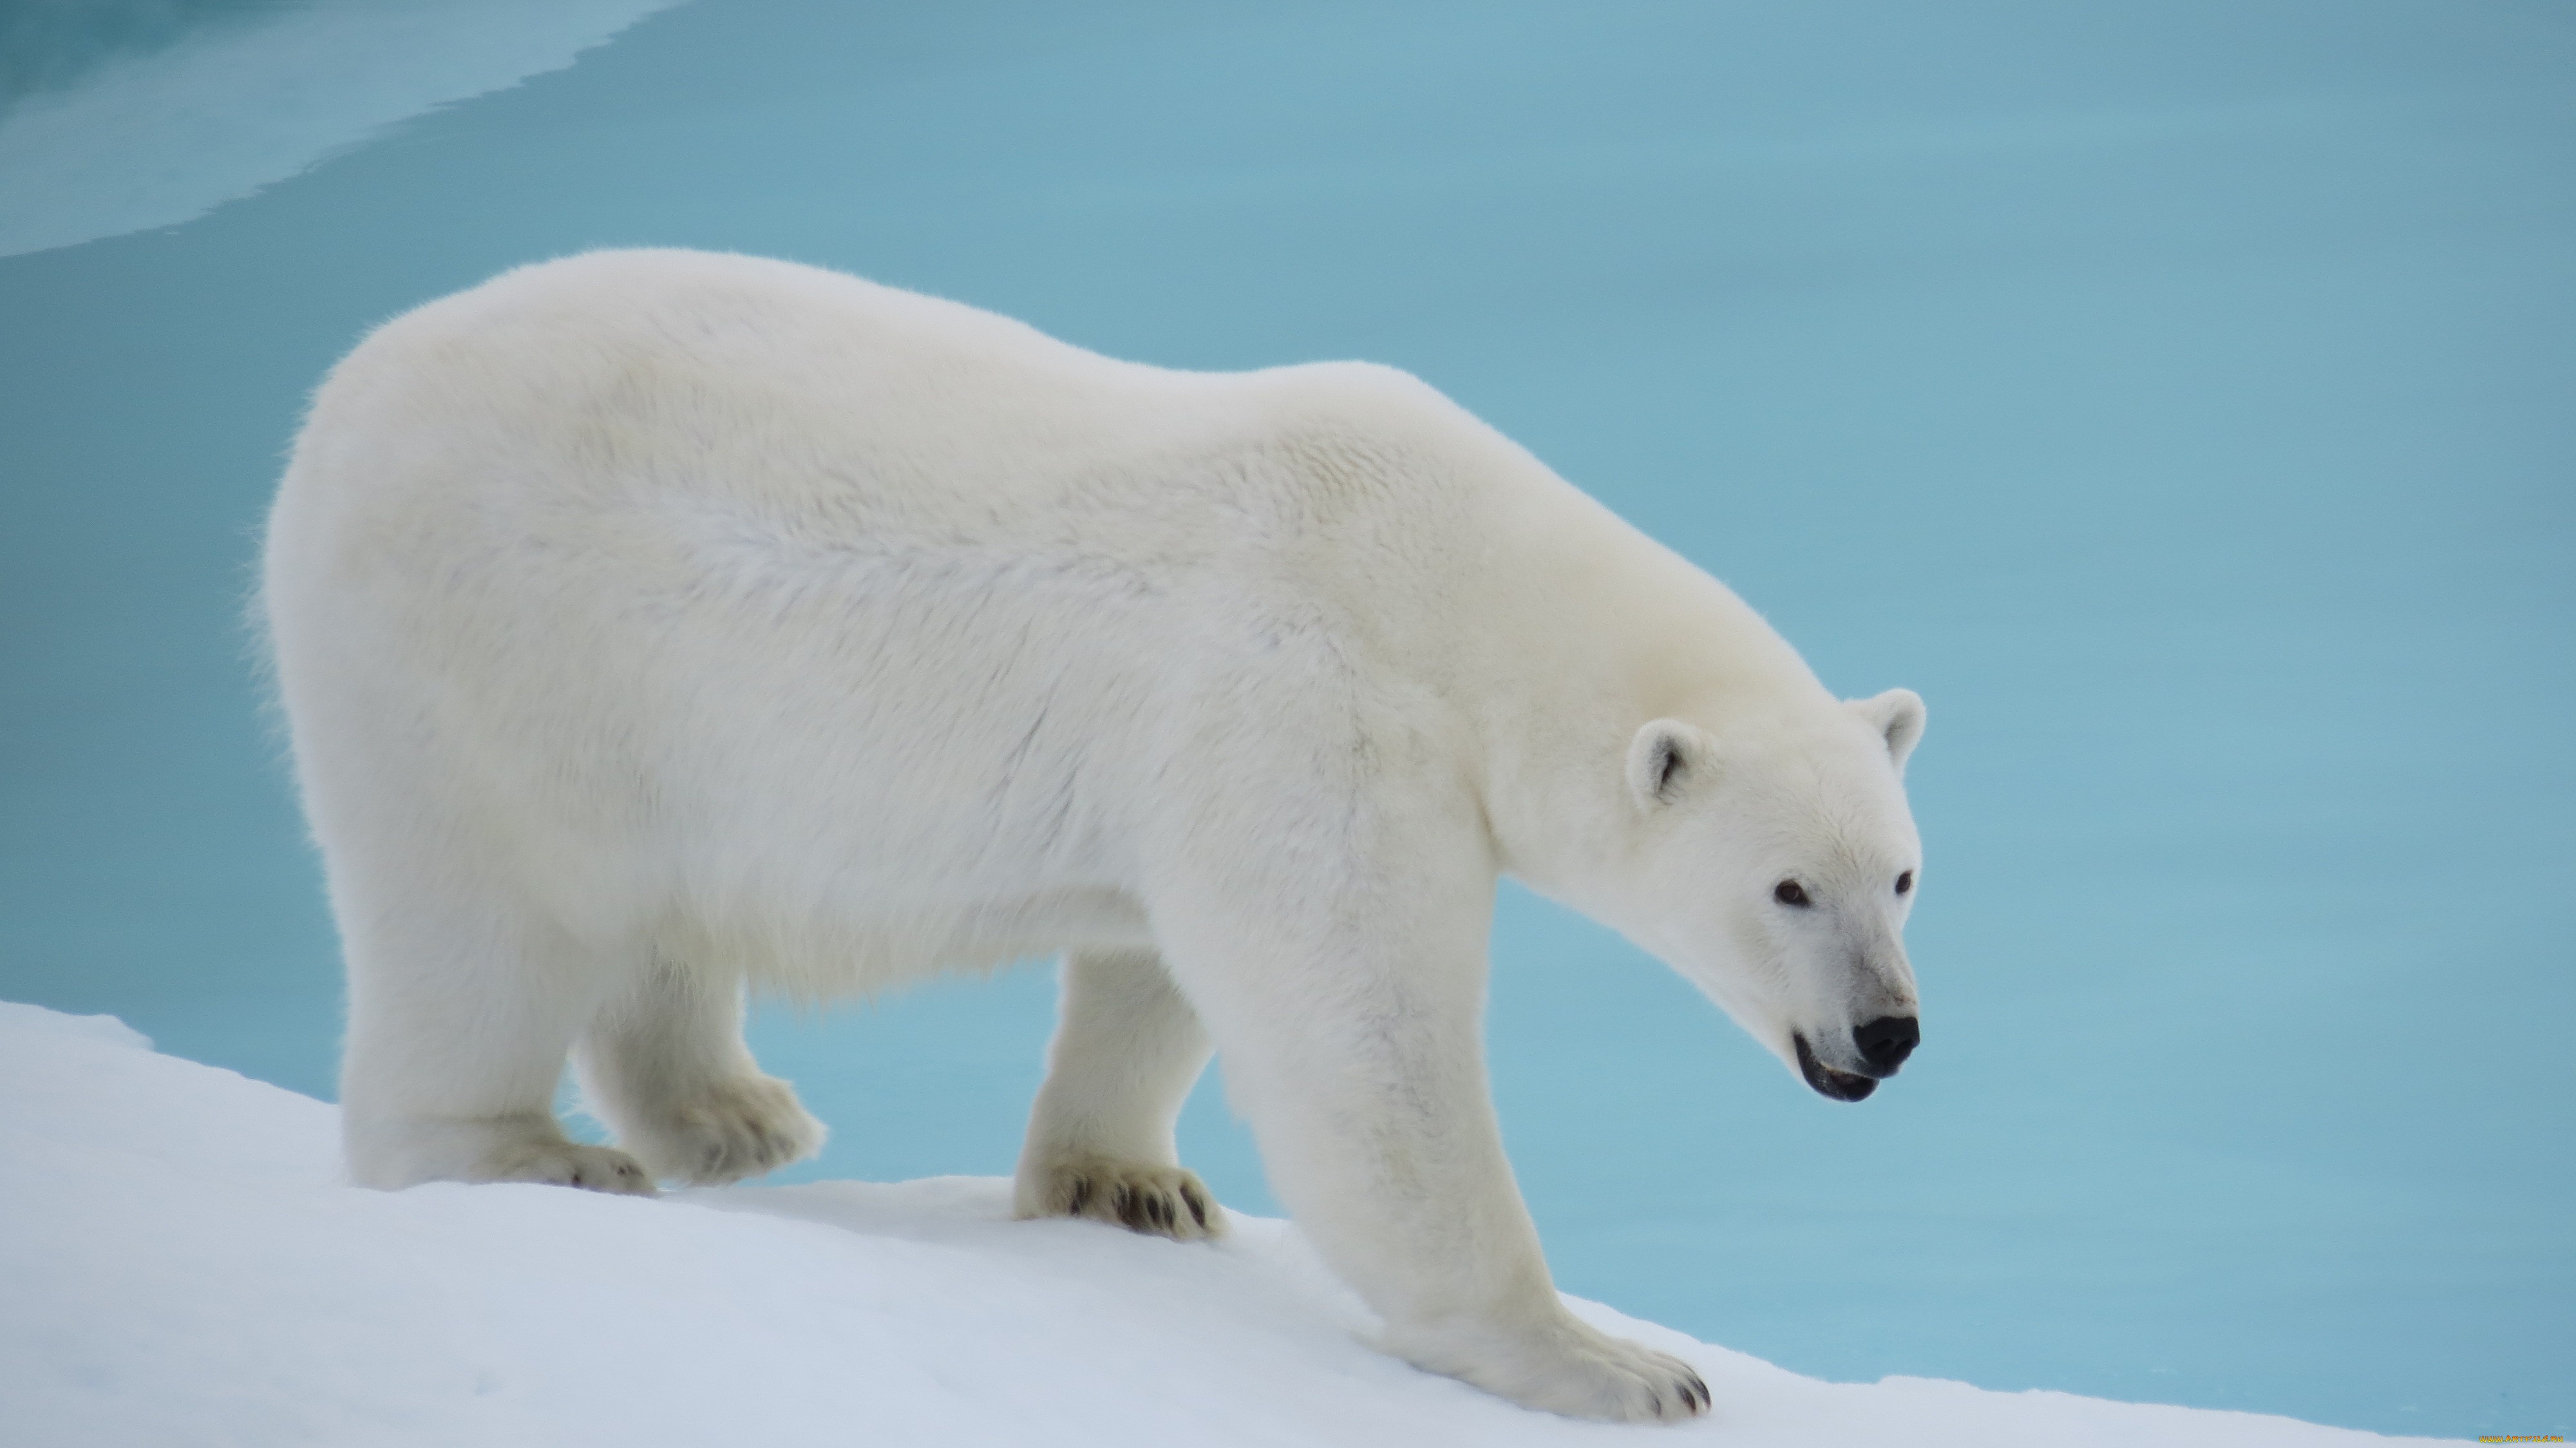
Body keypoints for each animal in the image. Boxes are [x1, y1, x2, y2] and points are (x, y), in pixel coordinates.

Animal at [260, 249, 1927, 1424]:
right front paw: (1613, 1359)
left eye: (1903, 873)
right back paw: (529, 1151)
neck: (1445, 573)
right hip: (488, 651)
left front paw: (1126, 1183)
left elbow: (1155, 966)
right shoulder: (1307, 699)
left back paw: (732, 1113)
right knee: (482, 920)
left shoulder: (1209, 754)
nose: (1888, 1030)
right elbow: (1361, 1042)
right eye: (1787, 888)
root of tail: (341, 398)